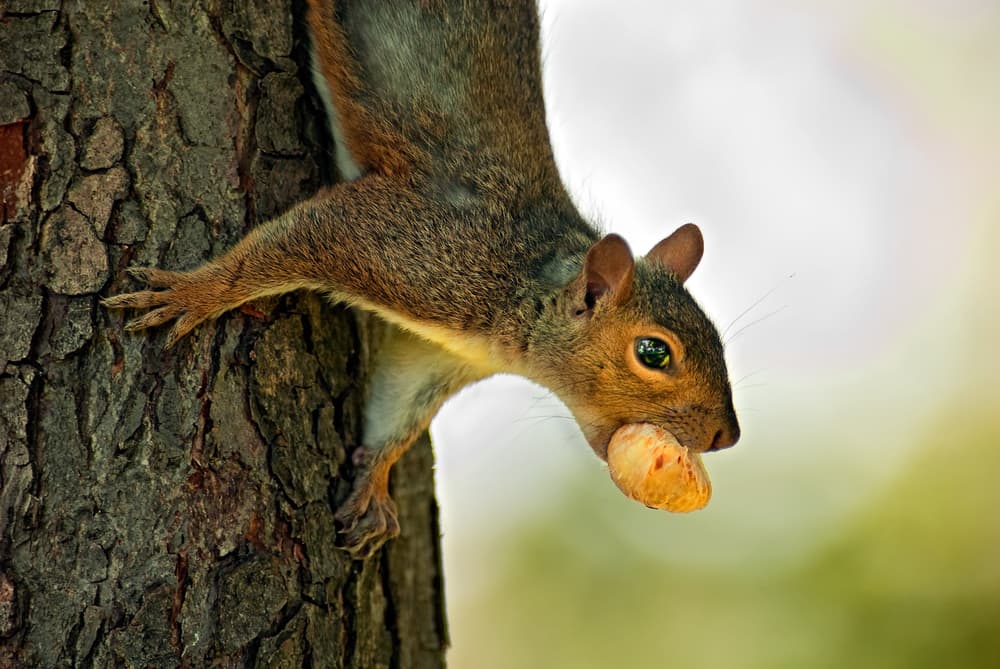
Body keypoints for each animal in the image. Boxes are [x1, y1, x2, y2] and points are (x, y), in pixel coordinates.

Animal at [103, 0, 744, 560]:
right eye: (653, 353)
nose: (727, 437)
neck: (519, 285)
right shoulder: (405, 247)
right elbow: (294, 240)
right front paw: (193, 293)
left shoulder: (435, 356)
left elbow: (397, 411)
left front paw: (375, 486)